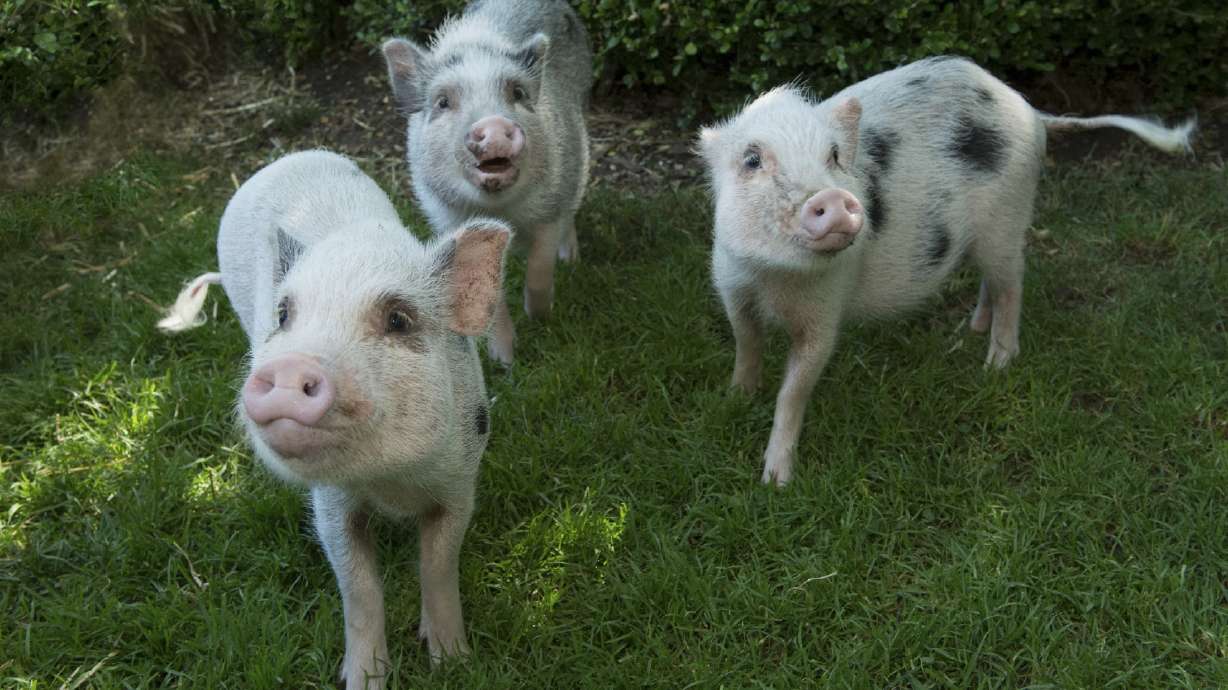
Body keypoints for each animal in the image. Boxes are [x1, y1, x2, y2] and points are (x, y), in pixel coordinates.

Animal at [158, 150, 511, 688]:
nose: (290, 366)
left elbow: (437, 567)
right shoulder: (331, 504)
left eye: (398, 320)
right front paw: (362, 680)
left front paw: (453, 662)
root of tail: (287, 159)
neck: (391, 482)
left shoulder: (460, 484)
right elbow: (359, 590)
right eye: (284, 315)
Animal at [381, 0, 593, 365]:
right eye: (442, 102)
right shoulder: (449, 217)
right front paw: (505, 363)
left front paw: (541, 317)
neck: (503, 212)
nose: (493, 125)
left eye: (518, 92)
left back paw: (571, 261)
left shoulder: (550, 206)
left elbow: (540, 266)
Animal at [698, 56, 1195, 486]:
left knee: (1012, 284)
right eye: (751, 160)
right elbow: (746, 343)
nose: (834, 198)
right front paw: (734, 398)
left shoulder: (825, 312)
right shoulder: (731, 285)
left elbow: (794, 390)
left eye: (834, 156)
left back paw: (995, 365)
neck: (774, 279)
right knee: (991, 283)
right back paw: (969, 330)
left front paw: (775, 482)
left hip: (1008, 220)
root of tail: (1029, 110)